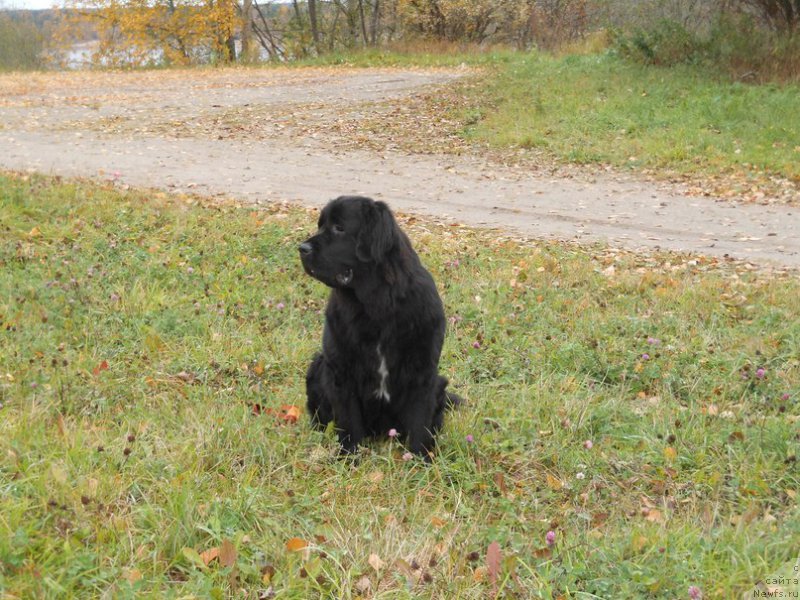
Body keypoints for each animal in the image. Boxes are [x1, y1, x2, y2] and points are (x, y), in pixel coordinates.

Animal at [296, 195, 460, 458]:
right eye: (320, 226)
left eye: (339, 228)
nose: (302, 248)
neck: (377, 304)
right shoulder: (341, 370)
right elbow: (349, 420)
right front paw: (348, 456)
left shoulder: (422, 371)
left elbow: (420, 423)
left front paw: (420, 459)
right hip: (318, 365)